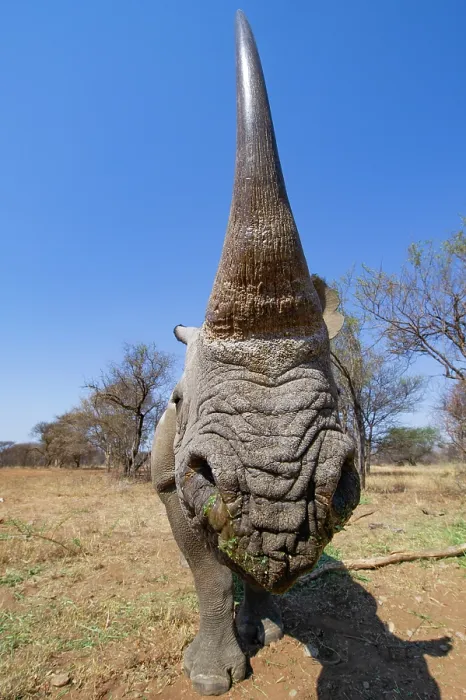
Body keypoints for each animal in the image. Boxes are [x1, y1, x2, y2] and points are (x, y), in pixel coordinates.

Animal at [151, 10, 360, 696]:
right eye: (176, 400)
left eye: (338, 396)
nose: (281, 495)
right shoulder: (170, 479)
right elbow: (209, 573)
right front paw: (212, 677)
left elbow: (246, 566)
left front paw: (264, 633)